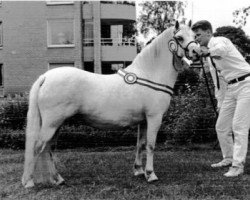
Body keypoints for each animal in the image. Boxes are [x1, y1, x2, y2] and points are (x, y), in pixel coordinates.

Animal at [21, 21, 197, 188]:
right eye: (179, 37)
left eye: (194, 35)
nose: (197, 51)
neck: (149, 75)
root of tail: (46, 77)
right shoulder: (154, 118)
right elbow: (151, 145)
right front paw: (150, 174)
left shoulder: (144, 120)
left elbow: (140, 144)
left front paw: (138, 171)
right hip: (52, 124)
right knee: (38, 147)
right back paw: (30, 182)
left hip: (55, 125)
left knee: (48, 148)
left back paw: (58, 179)